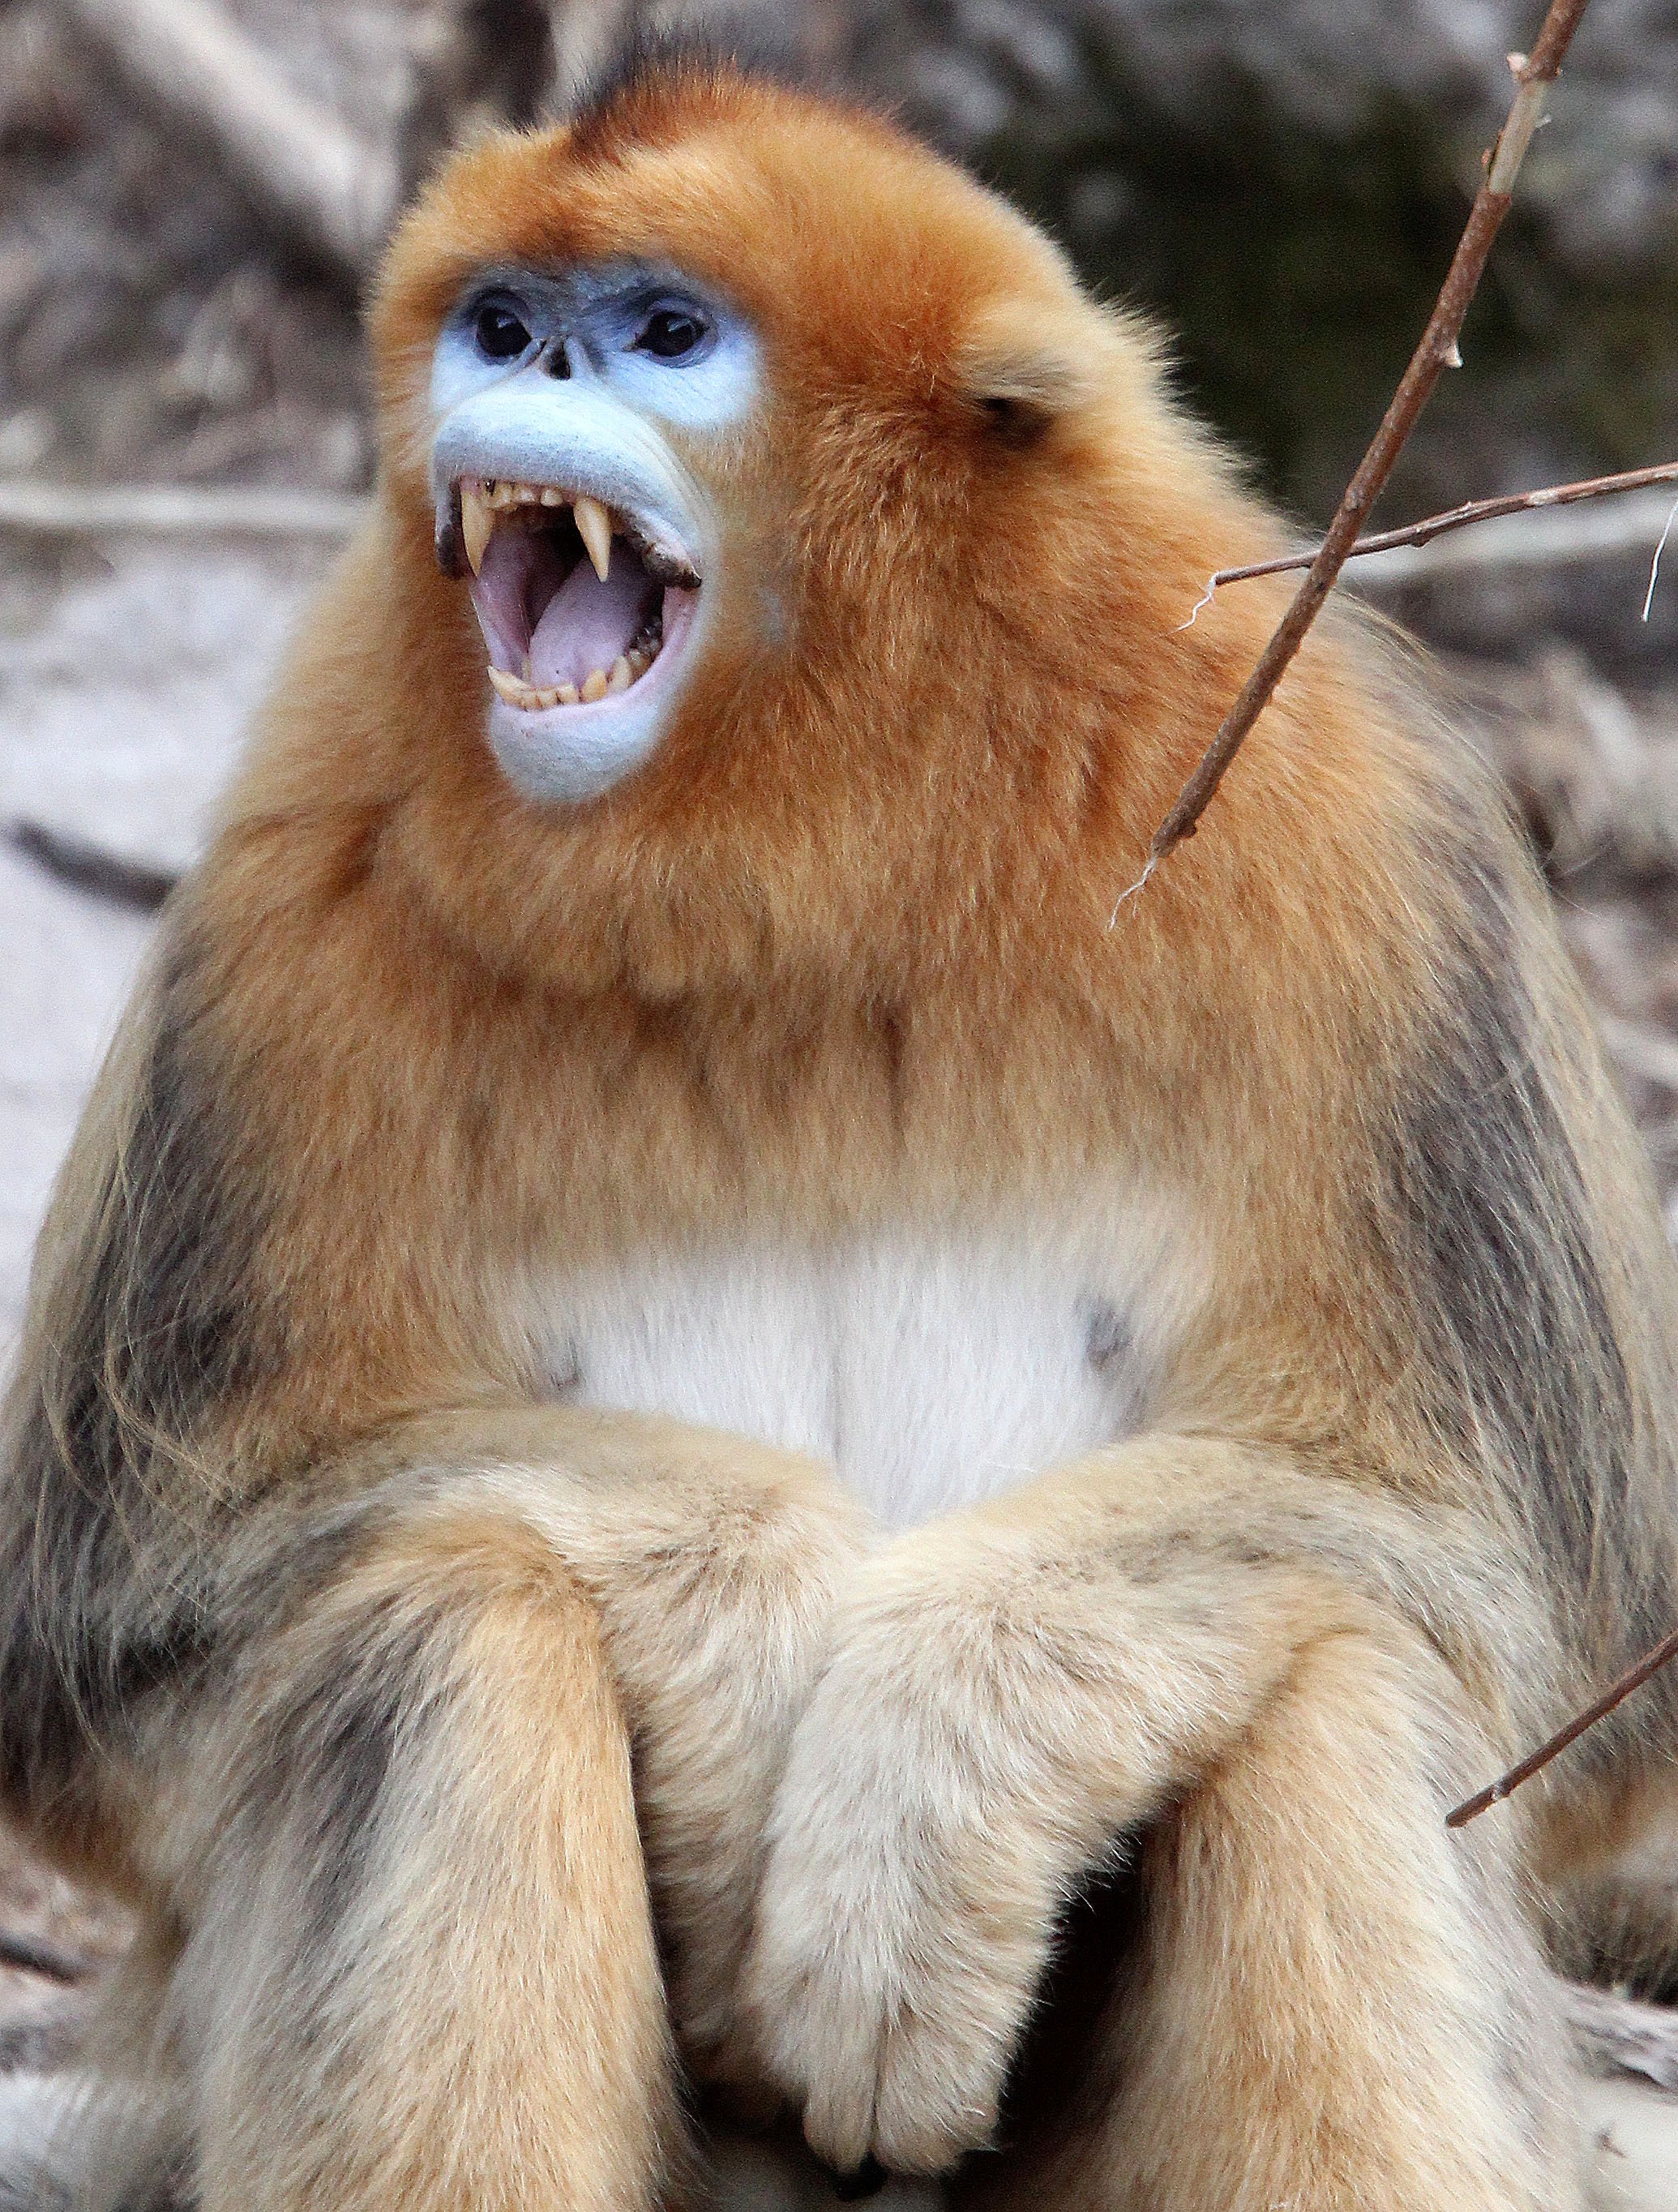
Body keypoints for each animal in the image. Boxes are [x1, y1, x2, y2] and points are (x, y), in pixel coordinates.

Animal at [2, 45, 1677, 2212]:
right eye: (499, 324)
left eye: (659, 334)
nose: (527, 363)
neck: (828, 869)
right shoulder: (289, 890)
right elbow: (109, 1628)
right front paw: (746, 1653)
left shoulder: (1356, 832)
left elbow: (1534, 1593)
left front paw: (914, 1783)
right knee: (444, 1618)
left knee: (1332, 1675)